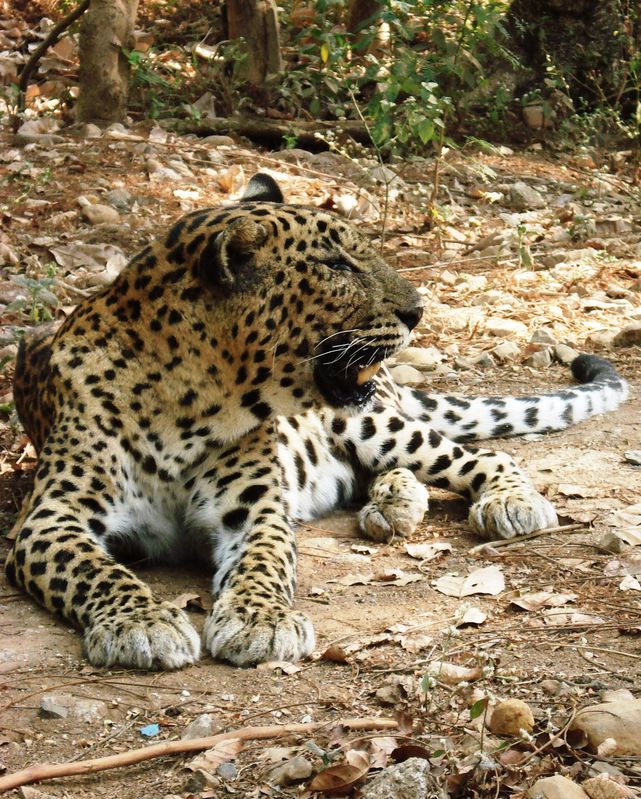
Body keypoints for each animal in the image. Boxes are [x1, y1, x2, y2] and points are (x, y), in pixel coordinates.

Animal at [6, 173, 628, 670]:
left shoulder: (253, 510)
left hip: (370, 425)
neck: (192, 403)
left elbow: (262, 562)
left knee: (479, 455)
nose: (418, 311)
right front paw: (143, 623)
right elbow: (94, 569)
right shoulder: (48, 520)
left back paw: (504, 503)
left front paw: (261, 622)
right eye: (335, 265)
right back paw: (393, 505)